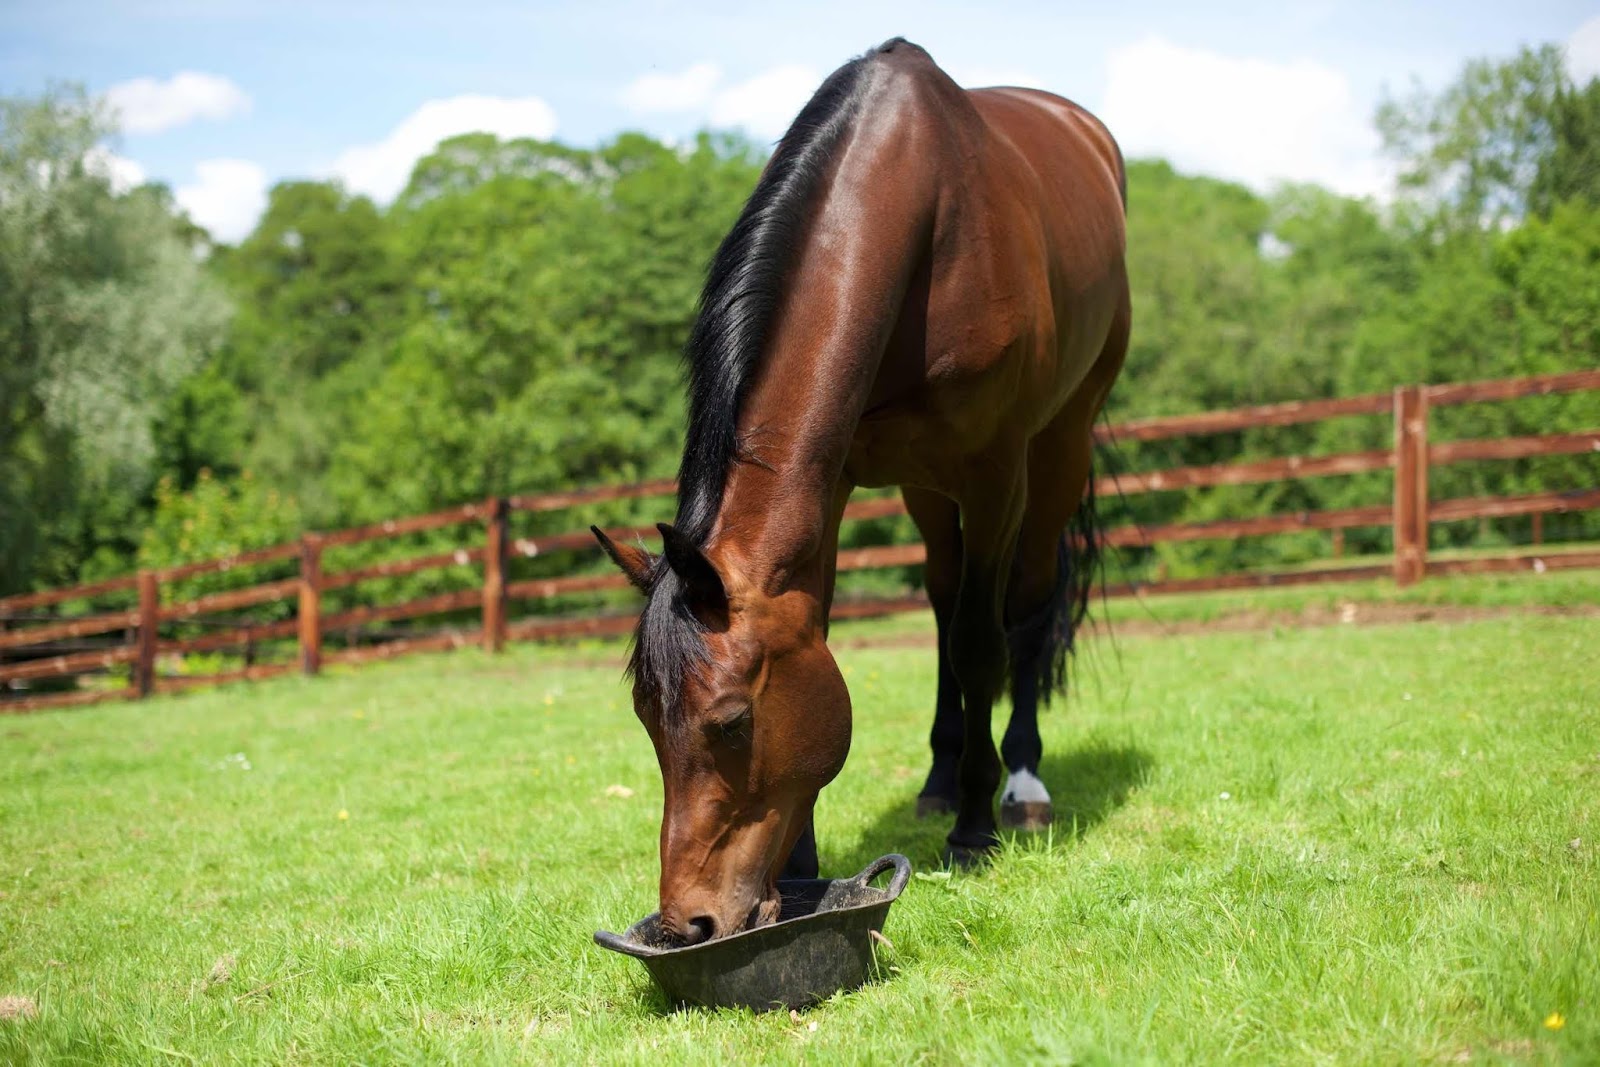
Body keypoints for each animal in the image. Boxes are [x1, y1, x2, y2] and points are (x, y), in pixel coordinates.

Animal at [593, 37, 1128, 945]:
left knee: (1019, 612)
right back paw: (942, 778)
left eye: (730, 721)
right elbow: (844, 629)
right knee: (945, 601)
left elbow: (983, 643)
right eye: (644, 720)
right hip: (925, 487)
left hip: (1059, 446)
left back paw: (1018, 784)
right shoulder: (837, 477)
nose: (688, 921)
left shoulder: (995, 470)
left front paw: (974, 831)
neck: (922, 220)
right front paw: (803, 867)